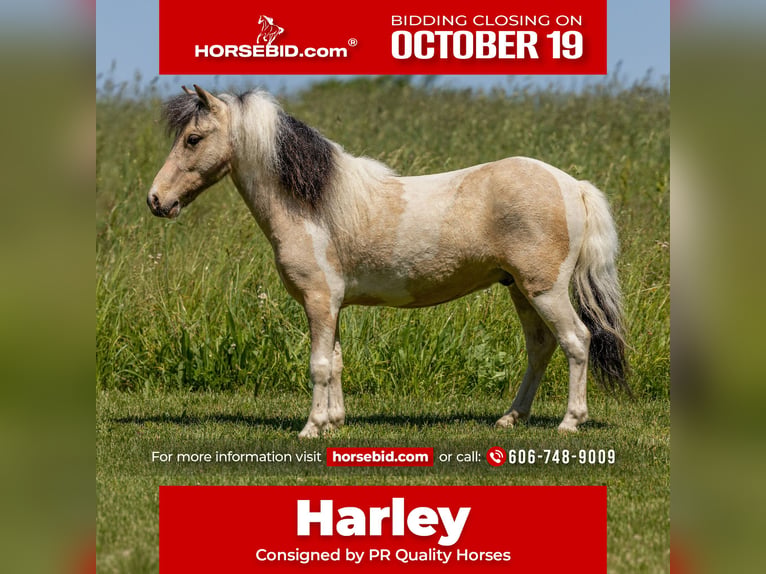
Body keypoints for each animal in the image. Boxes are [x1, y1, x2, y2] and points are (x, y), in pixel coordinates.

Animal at [147, 85, 628, 438]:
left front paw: (311, 428)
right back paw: (511, 418)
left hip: (545, 291)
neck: (313, 208)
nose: (156, 200)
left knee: (576, 341)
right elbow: (336, 362)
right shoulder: (332, 306)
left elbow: (319, 365)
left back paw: (569, 422)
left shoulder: (319, 301)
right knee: (541, 347)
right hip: (522, 291)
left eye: (193, 139)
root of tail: (571, 184)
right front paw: (335, 423)